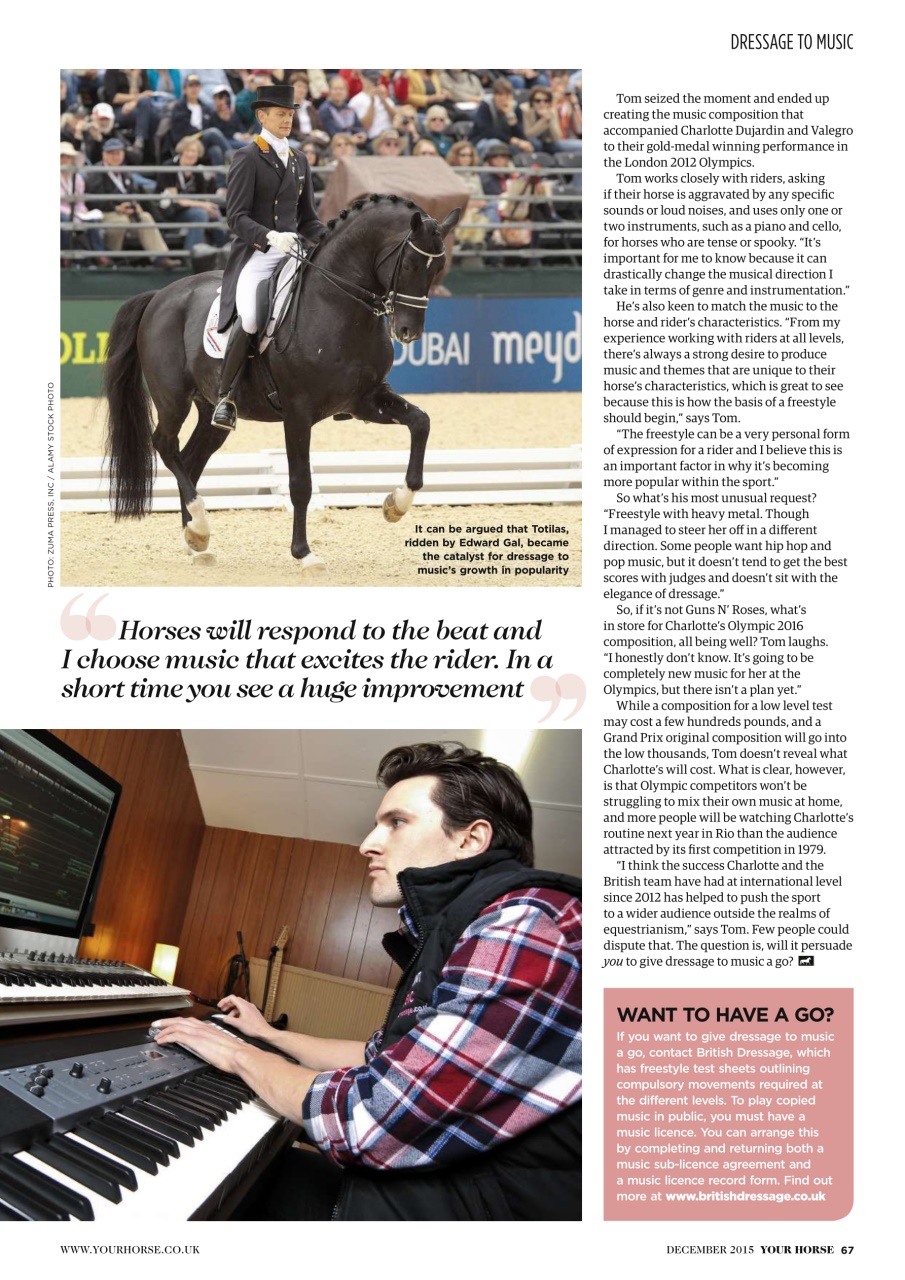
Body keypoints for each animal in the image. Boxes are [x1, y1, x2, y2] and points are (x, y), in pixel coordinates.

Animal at [103, 195, 461, 573]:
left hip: (211, 409)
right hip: (173, 398)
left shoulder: (364, 399)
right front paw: (304, 553)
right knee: (165, 445)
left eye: (438, 268)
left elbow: (421, 422)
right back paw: (199, 525)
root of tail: (160, 295)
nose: (408, 332)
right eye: (408, 264)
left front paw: (396, 504)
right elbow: (300, 483)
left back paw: (196, 540)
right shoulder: (298, 412)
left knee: (190, 458)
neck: (336, 307)